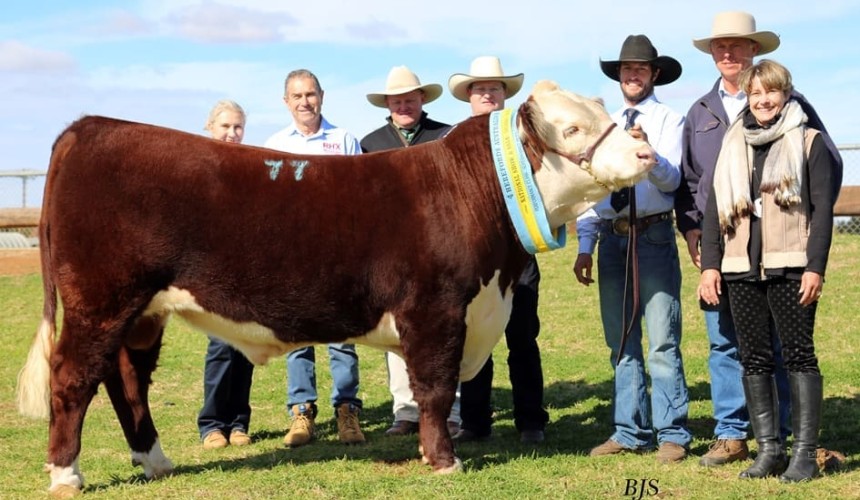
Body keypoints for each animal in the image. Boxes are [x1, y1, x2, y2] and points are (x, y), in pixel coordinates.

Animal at [17, 80, 655, 498]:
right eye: (572, 128)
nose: (646, 151)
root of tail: (89, 127)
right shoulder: (436, 310)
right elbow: (434, 387)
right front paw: (443, 461)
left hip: (143, 311)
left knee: (126, 380)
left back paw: (155, 461)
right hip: (100, 301)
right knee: (73, 377)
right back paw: (66, 475)